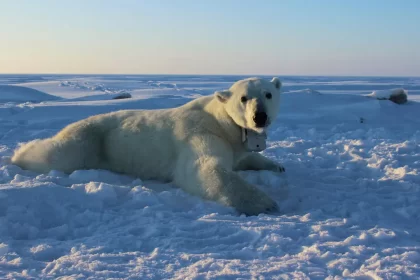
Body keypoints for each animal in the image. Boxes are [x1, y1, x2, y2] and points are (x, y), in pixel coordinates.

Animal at [12, 77, 286, 215]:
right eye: (243, 98)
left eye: (268, 94)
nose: (259, 117)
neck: (220, 121)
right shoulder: (201, 134)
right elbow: (203, 169)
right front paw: (265, 203)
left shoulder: (234, 142)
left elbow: (245, 158)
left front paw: (277, 166)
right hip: (90, 141)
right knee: (56, 154)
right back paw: (18, 155)